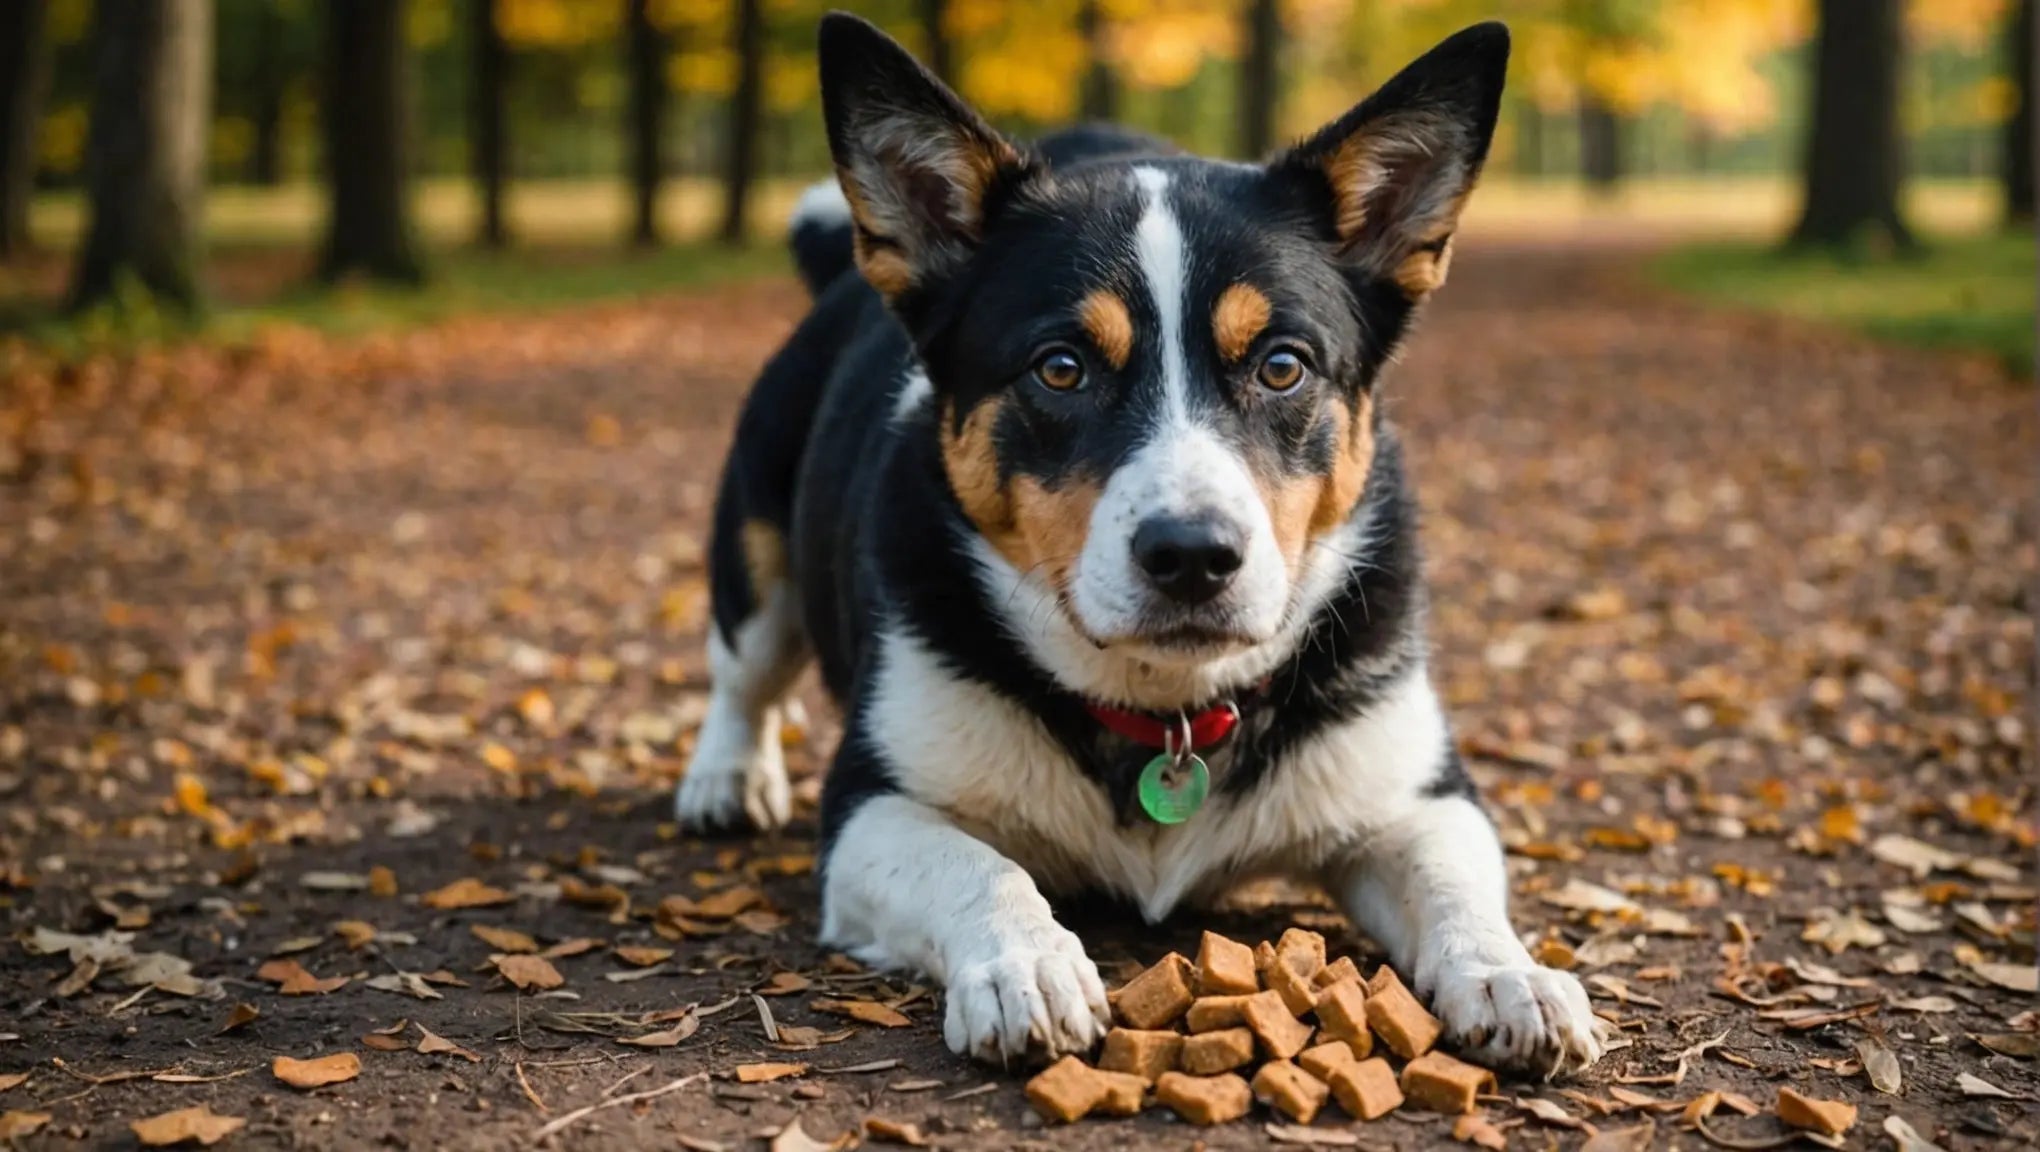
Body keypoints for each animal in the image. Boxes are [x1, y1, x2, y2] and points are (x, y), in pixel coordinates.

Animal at [677, 11, 1599, 1076]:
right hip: (754, 545)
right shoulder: (873, 804)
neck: (1166, 711)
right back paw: (726, 777)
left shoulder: (1421, 797)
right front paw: (1027, 966)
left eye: (1282, 366)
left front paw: (1513, 976)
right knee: (743, 673)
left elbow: (1457, 890)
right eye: (1061, 368)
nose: (1193, 556)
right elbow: (978, 865)